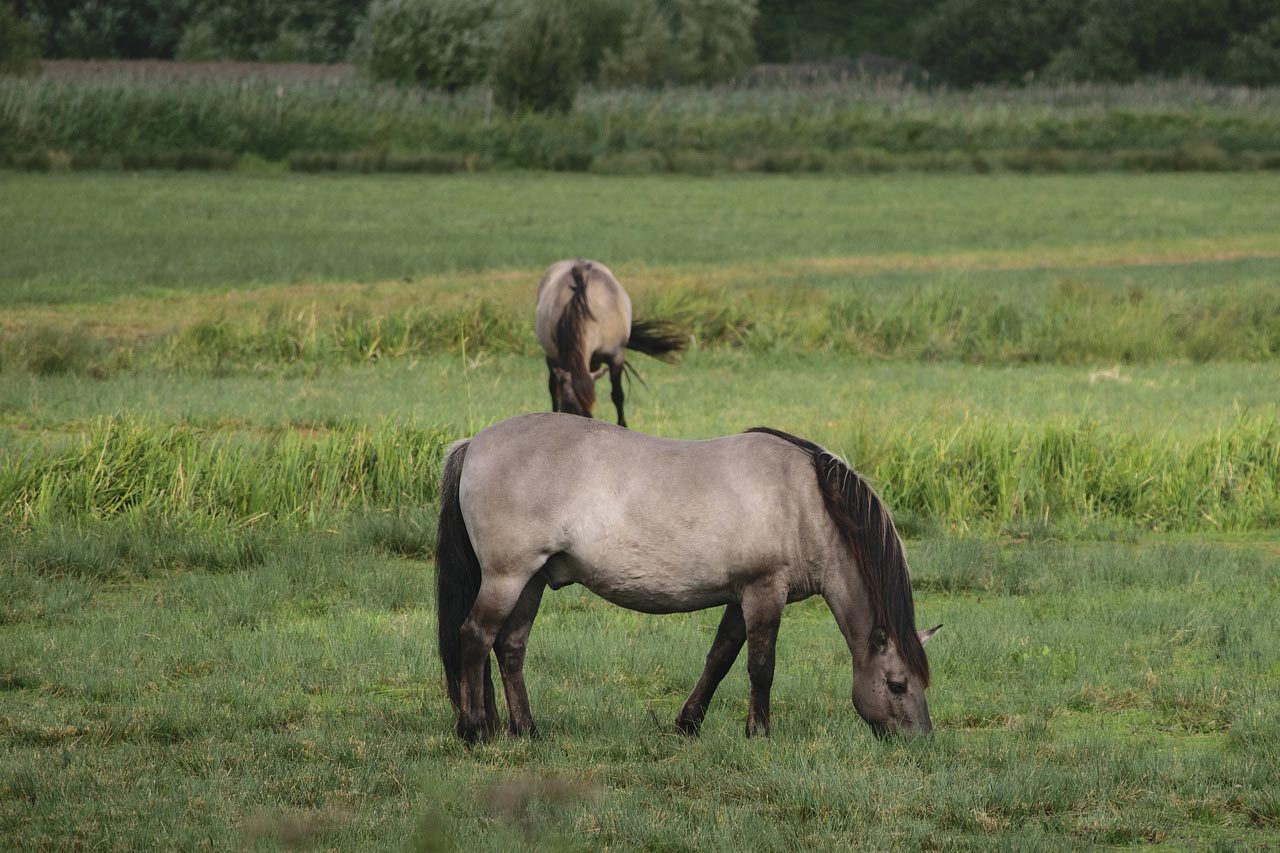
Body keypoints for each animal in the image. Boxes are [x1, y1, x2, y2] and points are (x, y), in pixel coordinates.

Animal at [435, 413, 941, 743]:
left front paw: (688, 724)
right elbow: (761, 666)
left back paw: (526, 730)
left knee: (510, 647)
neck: (804, 502)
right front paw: (760, 732)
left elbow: (719, 658)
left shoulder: (741, 596)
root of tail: (475, 443)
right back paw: (475, 729)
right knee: (476, 636)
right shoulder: (764, 592)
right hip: (507, 577)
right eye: (896, 684)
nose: (921, 741)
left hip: (532, 580)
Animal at [535, 259, 685, 427]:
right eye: (566, 409)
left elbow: (617, 395)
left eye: (585, 413)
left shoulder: (616, 357)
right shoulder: (557, 358)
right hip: (551, 357)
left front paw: (623, 425)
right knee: (553, 388)